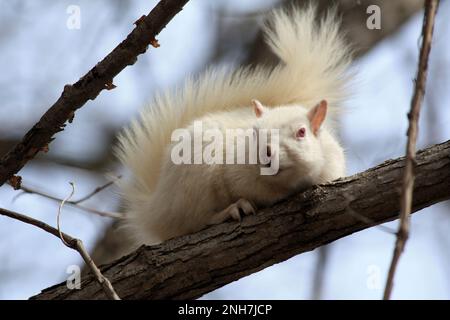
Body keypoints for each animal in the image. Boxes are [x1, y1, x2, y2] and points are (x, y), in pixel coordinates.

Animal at [115, 4, 352, 245]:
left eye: (301, 132)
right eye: (255, 133)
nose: (267, 153)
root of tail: (156, 210)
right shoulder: (236, 173)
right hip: (193, 179)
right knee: (194, 221)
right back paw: (230, 211)